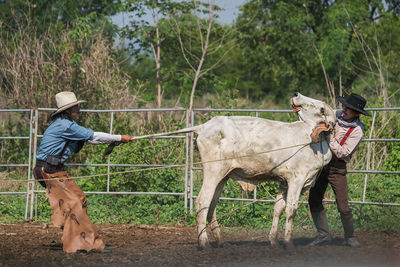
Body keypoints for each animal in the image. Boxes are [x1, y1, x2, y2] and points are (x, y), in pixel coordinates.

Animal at [184, 93, 338, 250]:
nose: (296, 94)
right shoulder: (297, 179)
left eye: (321, 108)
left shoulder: (284, 181)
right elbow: (291, 209)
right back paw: (204, 242)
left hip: (223, 176)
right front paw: (288, 243)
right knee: (202, 201)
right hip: (213, 171)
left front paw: (274, 241)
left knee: (212, 205)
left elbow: (278, 209)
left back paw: (220, 241)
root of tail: (204, 126)